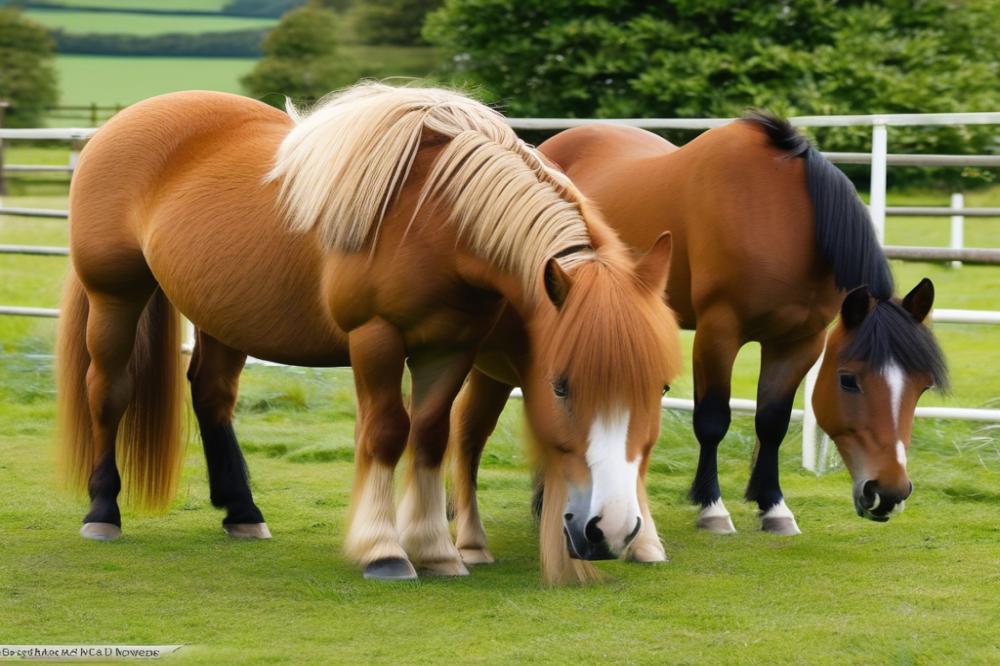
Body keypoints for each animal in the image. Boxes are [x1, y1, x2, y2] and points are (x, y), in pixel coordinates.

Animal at [54, 83, 680, 580]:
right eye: (559, 386)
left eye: (663, 388)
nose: (612, 529)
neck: (437, 216)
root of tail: (123, 121)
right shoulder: (375, 338)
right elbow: (385, 433)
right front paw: (385, 551)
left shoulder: (450, 348)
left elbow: (430, 436)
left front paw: (437, 551)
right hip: (115, 297)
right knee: (107, 392)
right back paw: (102, 513)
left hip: (220, 317)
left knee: (211, 395)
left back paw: (242, 513)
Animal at [450, 113, 948, 560]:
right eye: (848, 380)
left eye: (922, 387)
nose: (889, 492)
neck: (780, 213)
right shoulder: (718, 331)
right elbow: (712, 419)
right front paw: (713, 509)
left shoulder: (799, 342)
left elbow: (772, 422)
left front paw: (773, 508)